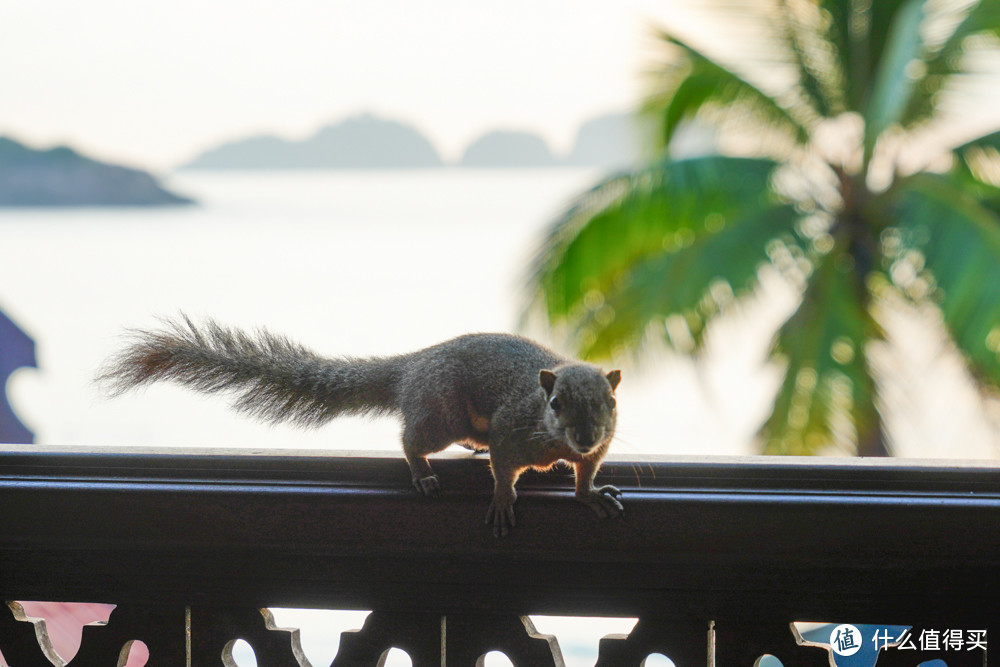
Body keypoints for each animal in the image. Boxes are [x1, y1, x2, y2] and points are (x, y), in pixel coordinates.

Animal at [97, 318, 620, 536]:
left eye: (609, 403)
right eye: (555, 403)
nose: (584, 436)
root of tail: (411, 366)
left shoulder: (598, 448)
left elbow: (587, 474)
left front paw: (590, 494)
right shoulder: (514, 431)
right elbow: (504, 466)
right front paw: (502, 499)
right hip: (441, 416)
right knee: (411, 438)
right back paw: (421, 471)